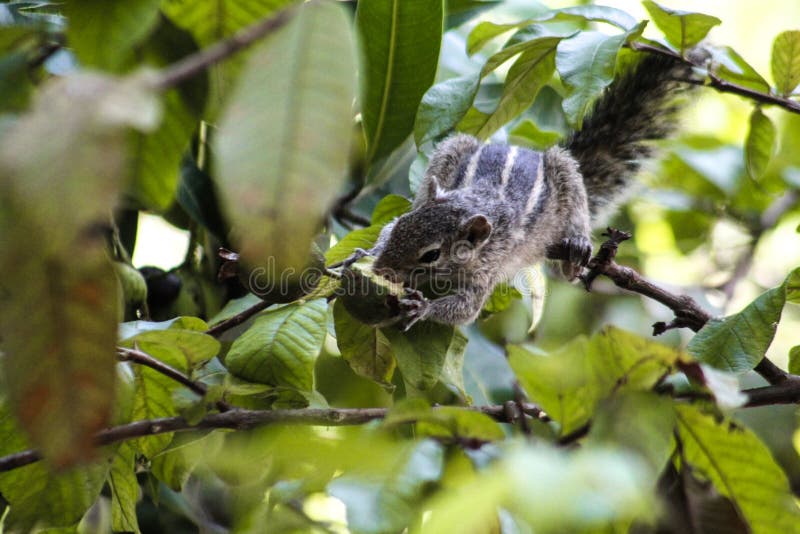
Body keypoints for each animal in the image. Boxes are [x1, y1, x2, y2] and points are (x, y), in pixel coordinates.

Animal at [346, 51, 703, 329]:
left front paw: (423, 307)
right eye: (402, 229)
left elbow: (465, 309)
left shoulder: (488, 267)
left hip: (564, 172)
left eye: (431, 255)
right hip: (452, 147)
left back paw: (576, 247)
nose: (380, 271)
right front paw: (367, 251)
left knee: (573, 244)